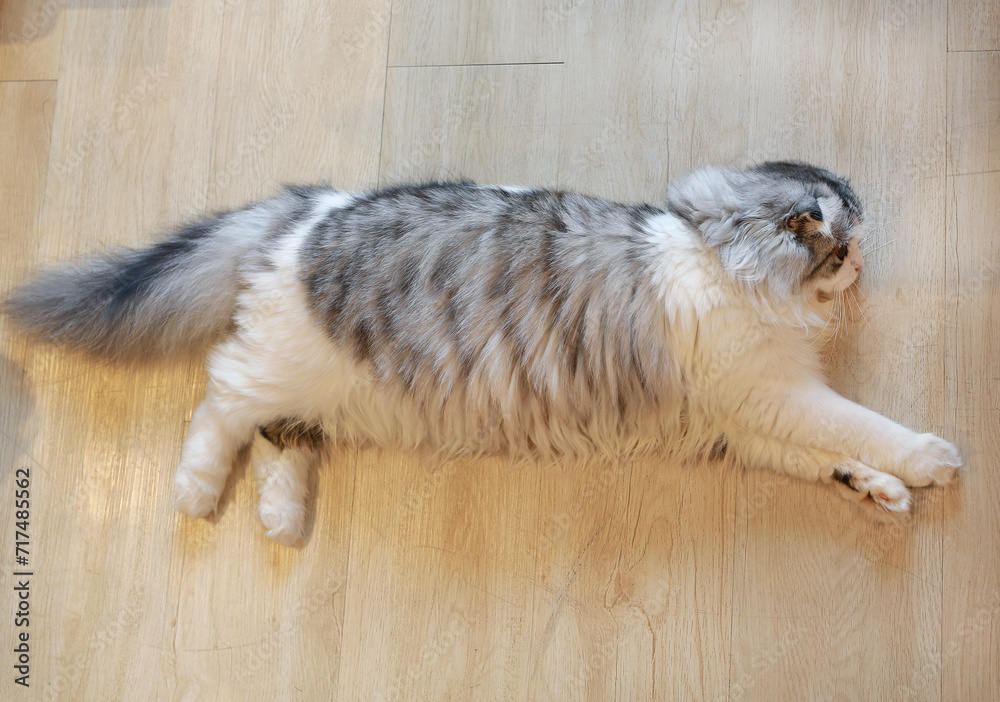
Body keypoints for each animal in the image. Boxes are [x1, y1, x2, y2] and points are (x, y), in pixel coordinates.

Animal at [5, 162, 960, 548]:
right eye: (846, 240)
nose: (869, 259)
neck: (719, 257)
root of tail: (308, 208)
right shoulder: (769, 393)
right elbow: (861, 426)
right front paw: (928, 460)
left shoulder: (752, 415)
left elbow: (829, 456)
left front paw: (880, 490)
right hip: (282, 363)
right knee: (221, 402)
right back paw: (197, 491)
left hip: (329, 393)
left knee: (284, 440)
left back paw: (281, 520)